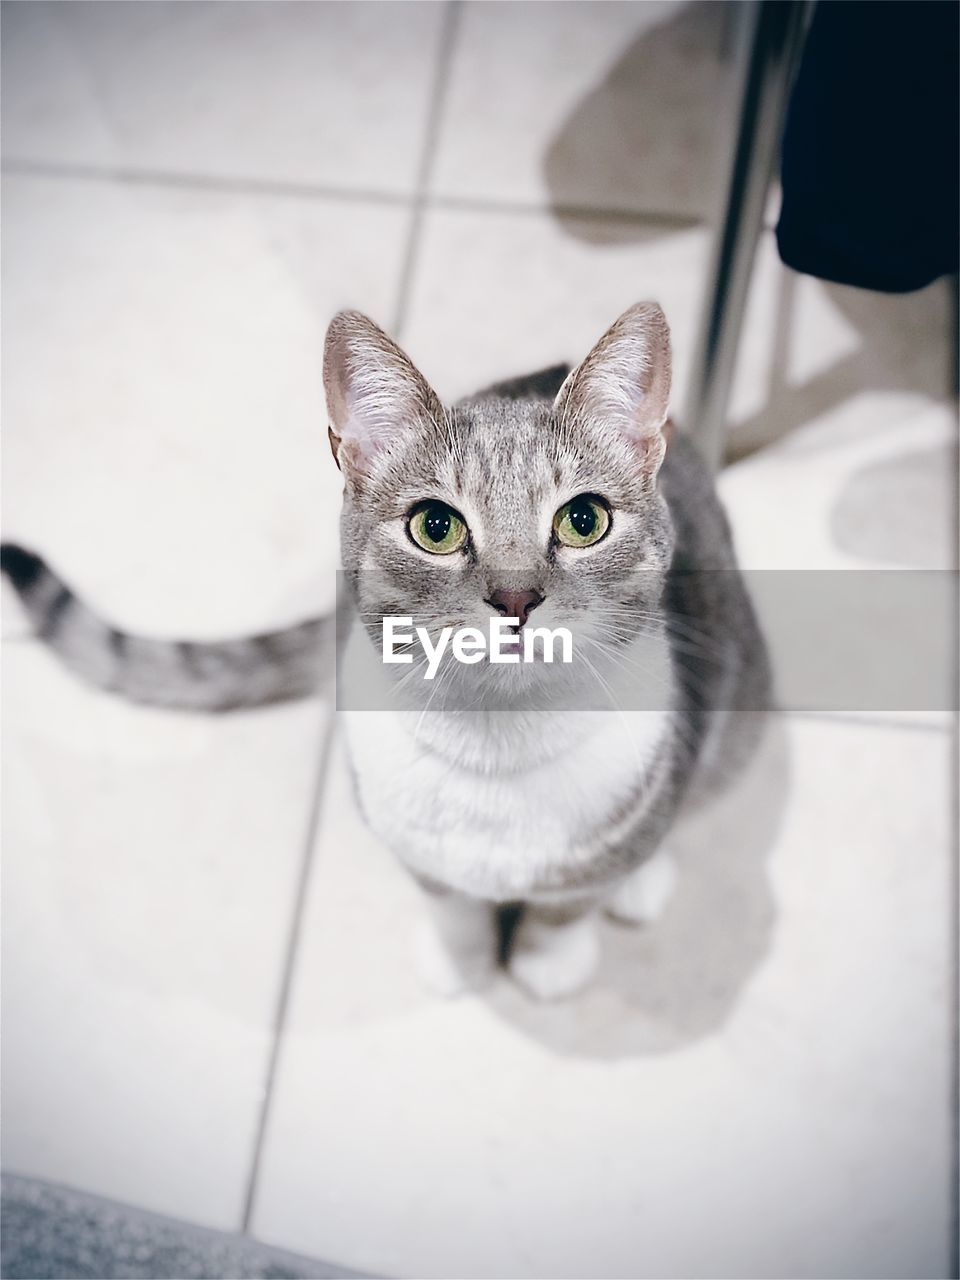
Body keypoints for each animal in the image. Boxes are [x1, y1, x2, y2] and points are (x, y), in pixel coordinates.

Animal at [0, 302, 768, 998]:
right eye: (436, 527)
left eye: (584, 520)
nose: (516, 598)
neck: (499, 739)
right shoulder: (408, 840)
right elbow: (450, 905)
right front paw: (460, 962)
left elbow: (567, 906)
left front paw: (550, 962)